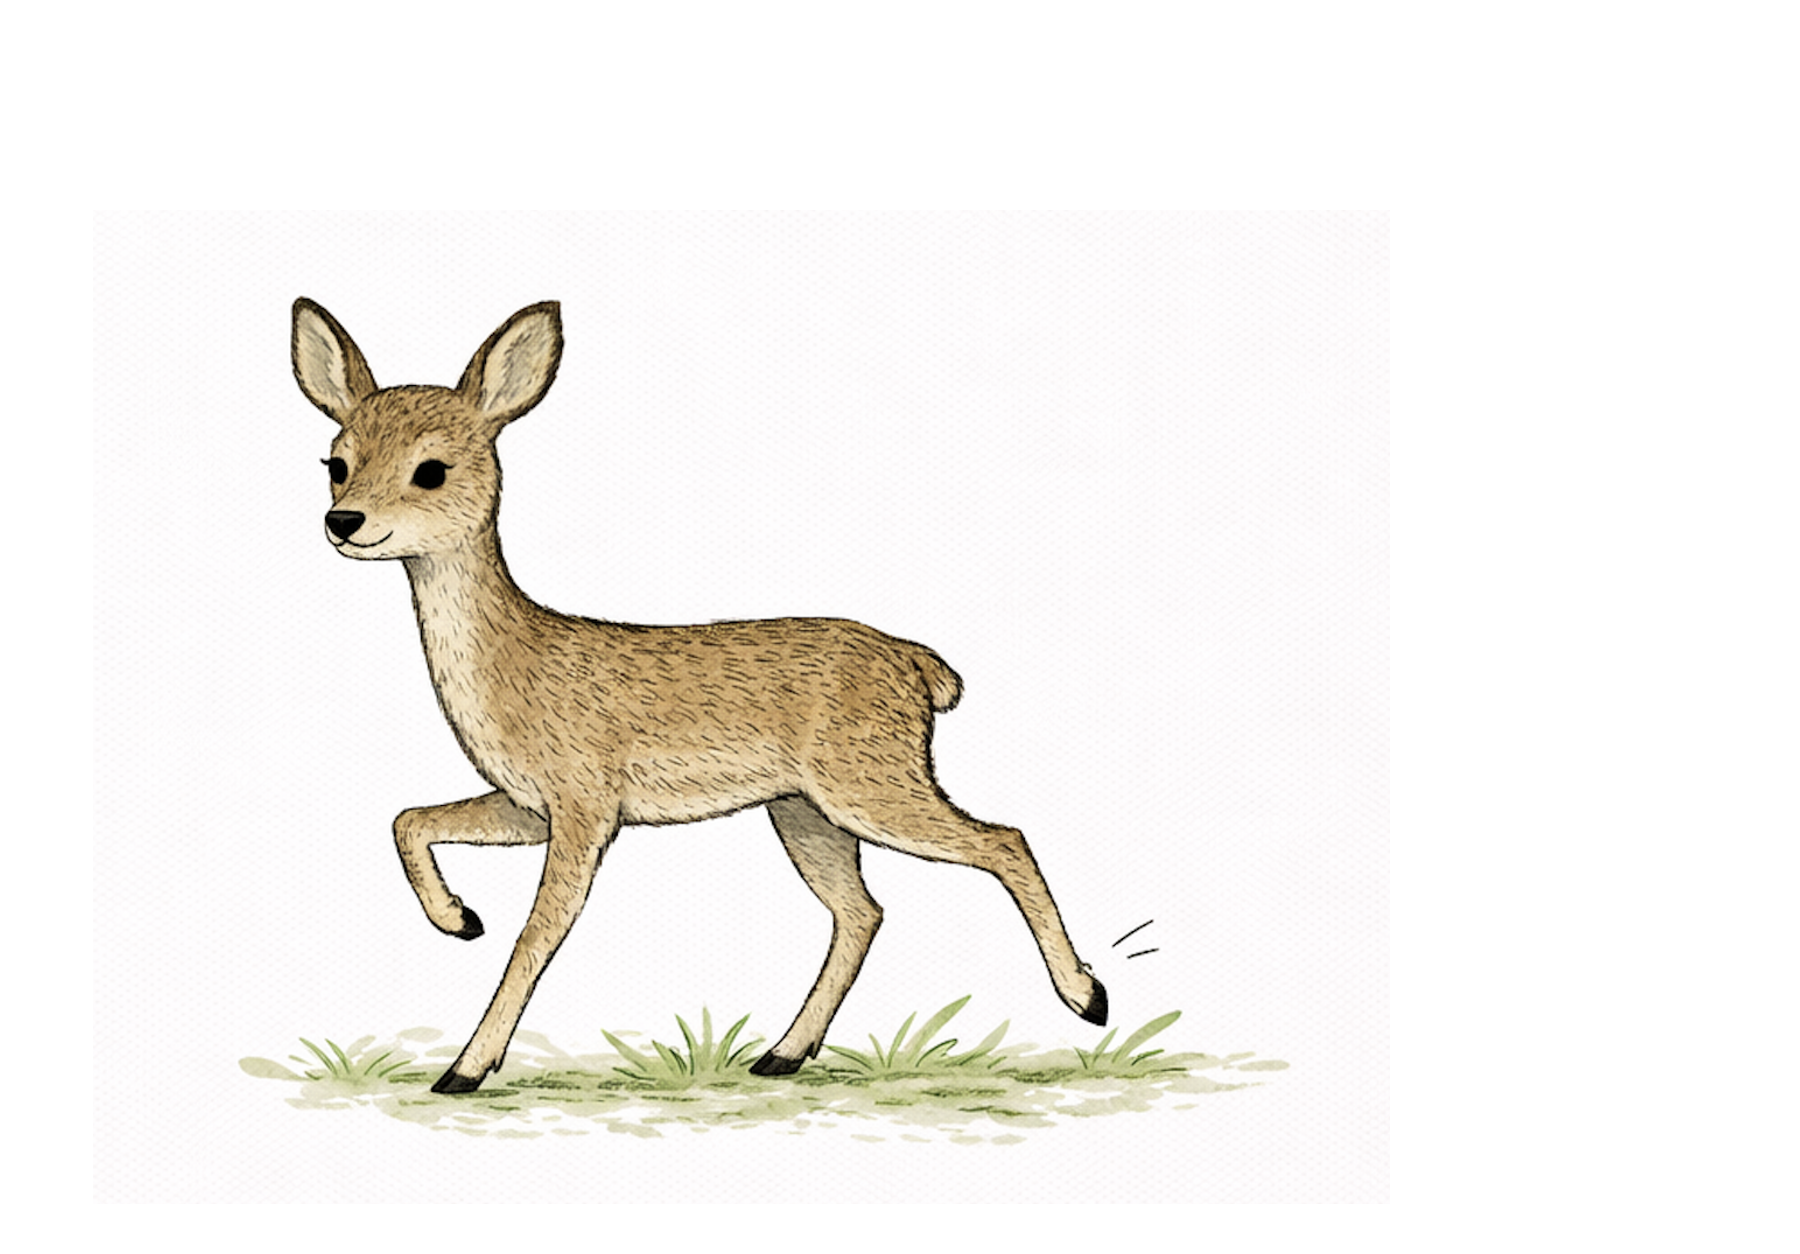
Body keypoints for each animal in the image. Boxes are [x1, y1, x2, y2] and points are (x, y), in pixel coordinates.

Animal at [290, 298, 1108, 1093]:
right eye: (336, 462)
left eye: (431, 469)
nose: (343, 521)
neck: (517, 664)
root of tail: (922, 668)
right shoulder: (531, 805)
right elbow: (408, 819)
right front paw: (460, 921)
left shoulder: (586, 803)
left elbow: (537, 932)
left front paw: (464, 1067)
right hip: (805, 809)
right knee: (863, 909)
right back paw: (782, 1054)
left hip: (870, 783)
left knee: (1002, 840)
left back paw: (1089, 997)